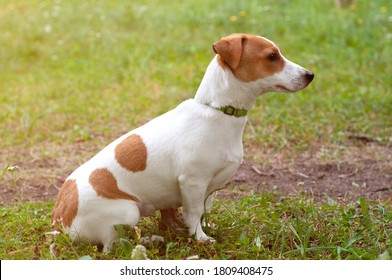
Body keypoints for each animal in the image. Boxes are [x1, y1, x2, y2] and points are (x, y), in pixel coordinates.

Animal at [52, 32, 316, 252]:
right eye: (272, 56)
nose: (310, 75)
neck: (217, 112)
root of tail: (60, 220)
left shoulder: (210, 187)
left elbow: (204, 212)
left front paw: (205, 230)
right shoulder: (193, 182)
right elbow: (194, 213)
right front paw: (200, 238)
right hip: (127, 211)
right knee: (112, 247)